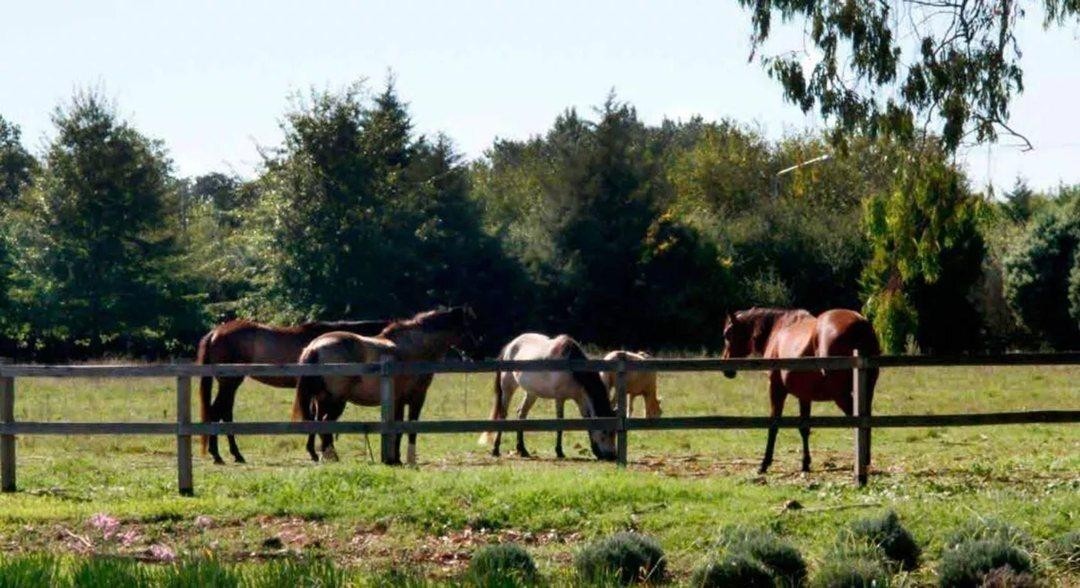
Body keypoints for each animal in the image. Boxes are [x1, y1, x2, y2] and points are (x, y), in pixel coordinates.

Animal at [195, 318, 388, 464]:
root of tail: (215, 333)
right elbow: (315, 418)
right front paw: (317, 452)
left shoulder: (317, 395)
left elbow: (315, 417)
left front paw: (315, 451)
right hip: (230, 384)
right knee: (218, 412)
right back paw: (221, 455)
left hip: (229, 385)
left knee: (223, 413)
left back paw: (231, 455)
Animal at [292, 306, 476, 465]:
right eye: (467, 327)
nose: (476, 350)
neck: (412, 348)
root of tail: (314, 347)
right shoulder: (416, 398)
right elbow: (410, 428)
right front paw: (409, 460)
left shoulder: (398, 401)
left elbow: (398, 428)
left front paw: (395, 459)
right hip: (336, 401)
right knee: (325, 424)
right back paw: (331, 457)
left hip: (321, 400)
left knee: (317, 423)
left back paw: (318, 454)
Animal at [478, 333, 617, 461]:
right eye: (604, 432)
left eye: (614, 432)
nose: (611, 456)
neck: (570, 366)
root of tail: (510, 346)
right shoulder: (560, 398)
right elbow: (560, 422)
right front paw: (559, 452)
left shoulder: (580, 399)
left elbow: (587, 421)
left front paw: (595, 451)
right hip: (508, 389)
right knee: (503, 415)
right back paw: (496, 449)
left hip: (531, 393)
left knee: (521, 413)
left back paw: (522, 450)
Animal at [721, 307, 880, 474]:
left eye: (727, 334)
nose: (727, 370)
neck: (778, 329)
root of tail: (860, 324)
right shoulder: (804, 396)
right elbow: (804, 428)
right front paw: (805, 463)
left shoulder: (776, 389)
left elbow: (774, 425)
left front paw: (764, 464)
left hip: (841, 396)